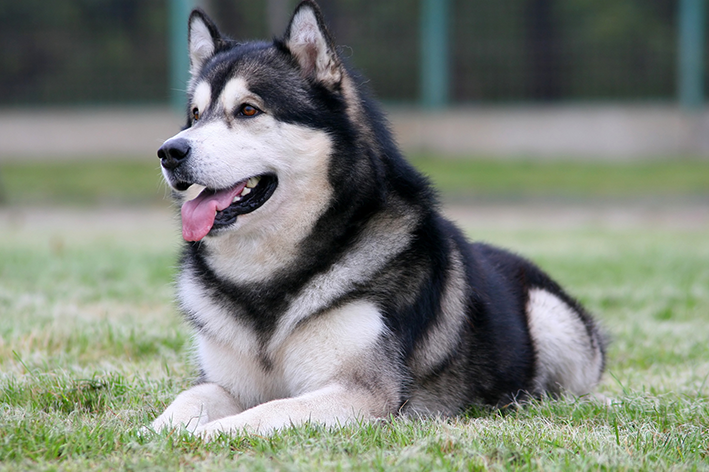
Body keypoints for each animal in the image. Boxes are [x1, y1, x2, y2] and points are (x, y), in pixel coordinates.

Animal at [151, 0, 604, 438]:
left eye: (247, 110)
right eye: (195, 115)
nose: (169, 151)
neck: (266, 278)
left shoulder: (362, 391)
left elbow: (265, 411)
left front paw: (206, 434)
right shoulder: (223, 382)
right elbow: (188, 400)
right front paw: (154, 432)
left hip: (552, 319)